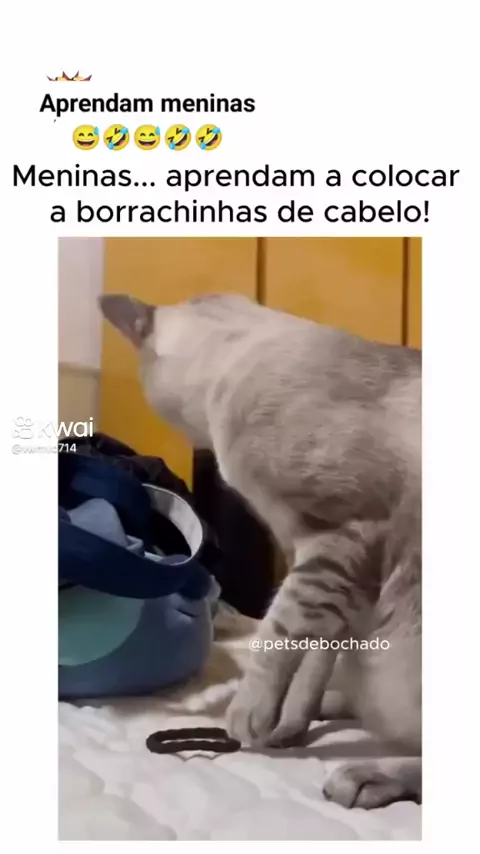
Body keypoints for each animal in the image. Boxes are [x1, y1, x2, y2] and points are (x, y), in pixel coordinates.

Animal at [100, 292, 421, 809]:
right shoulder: (324, 565)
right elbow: (311, 659)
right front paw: (288, 724)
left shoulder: (340, 538)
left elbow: (280, 632)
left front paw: (250, 717)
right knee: (349, 692)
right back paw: (331, 708)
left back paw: (366, 774)